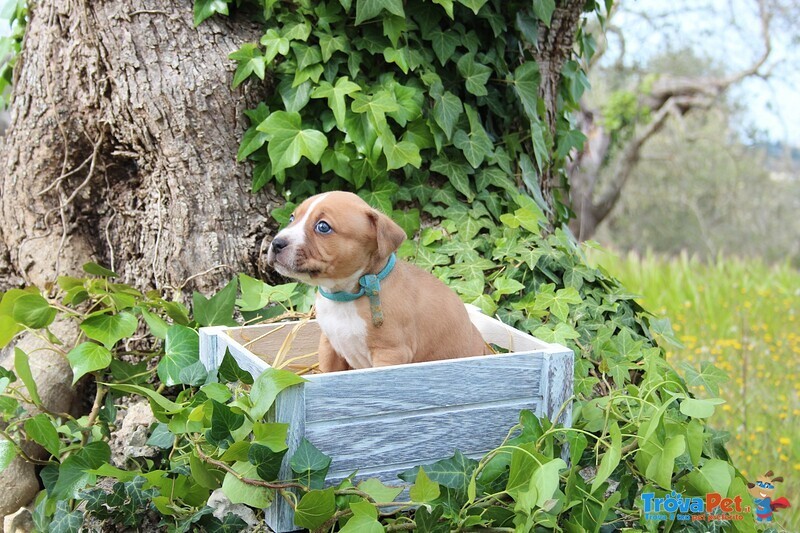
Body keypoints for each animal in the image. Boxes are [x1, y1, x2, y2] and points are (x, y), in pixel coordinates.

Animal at [266, 190, 488, 370]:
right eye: (292, 217)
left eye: (323, 227)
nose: (276, 243)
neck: (345, 295)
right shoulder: (329, 346)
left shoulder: (390, 354)